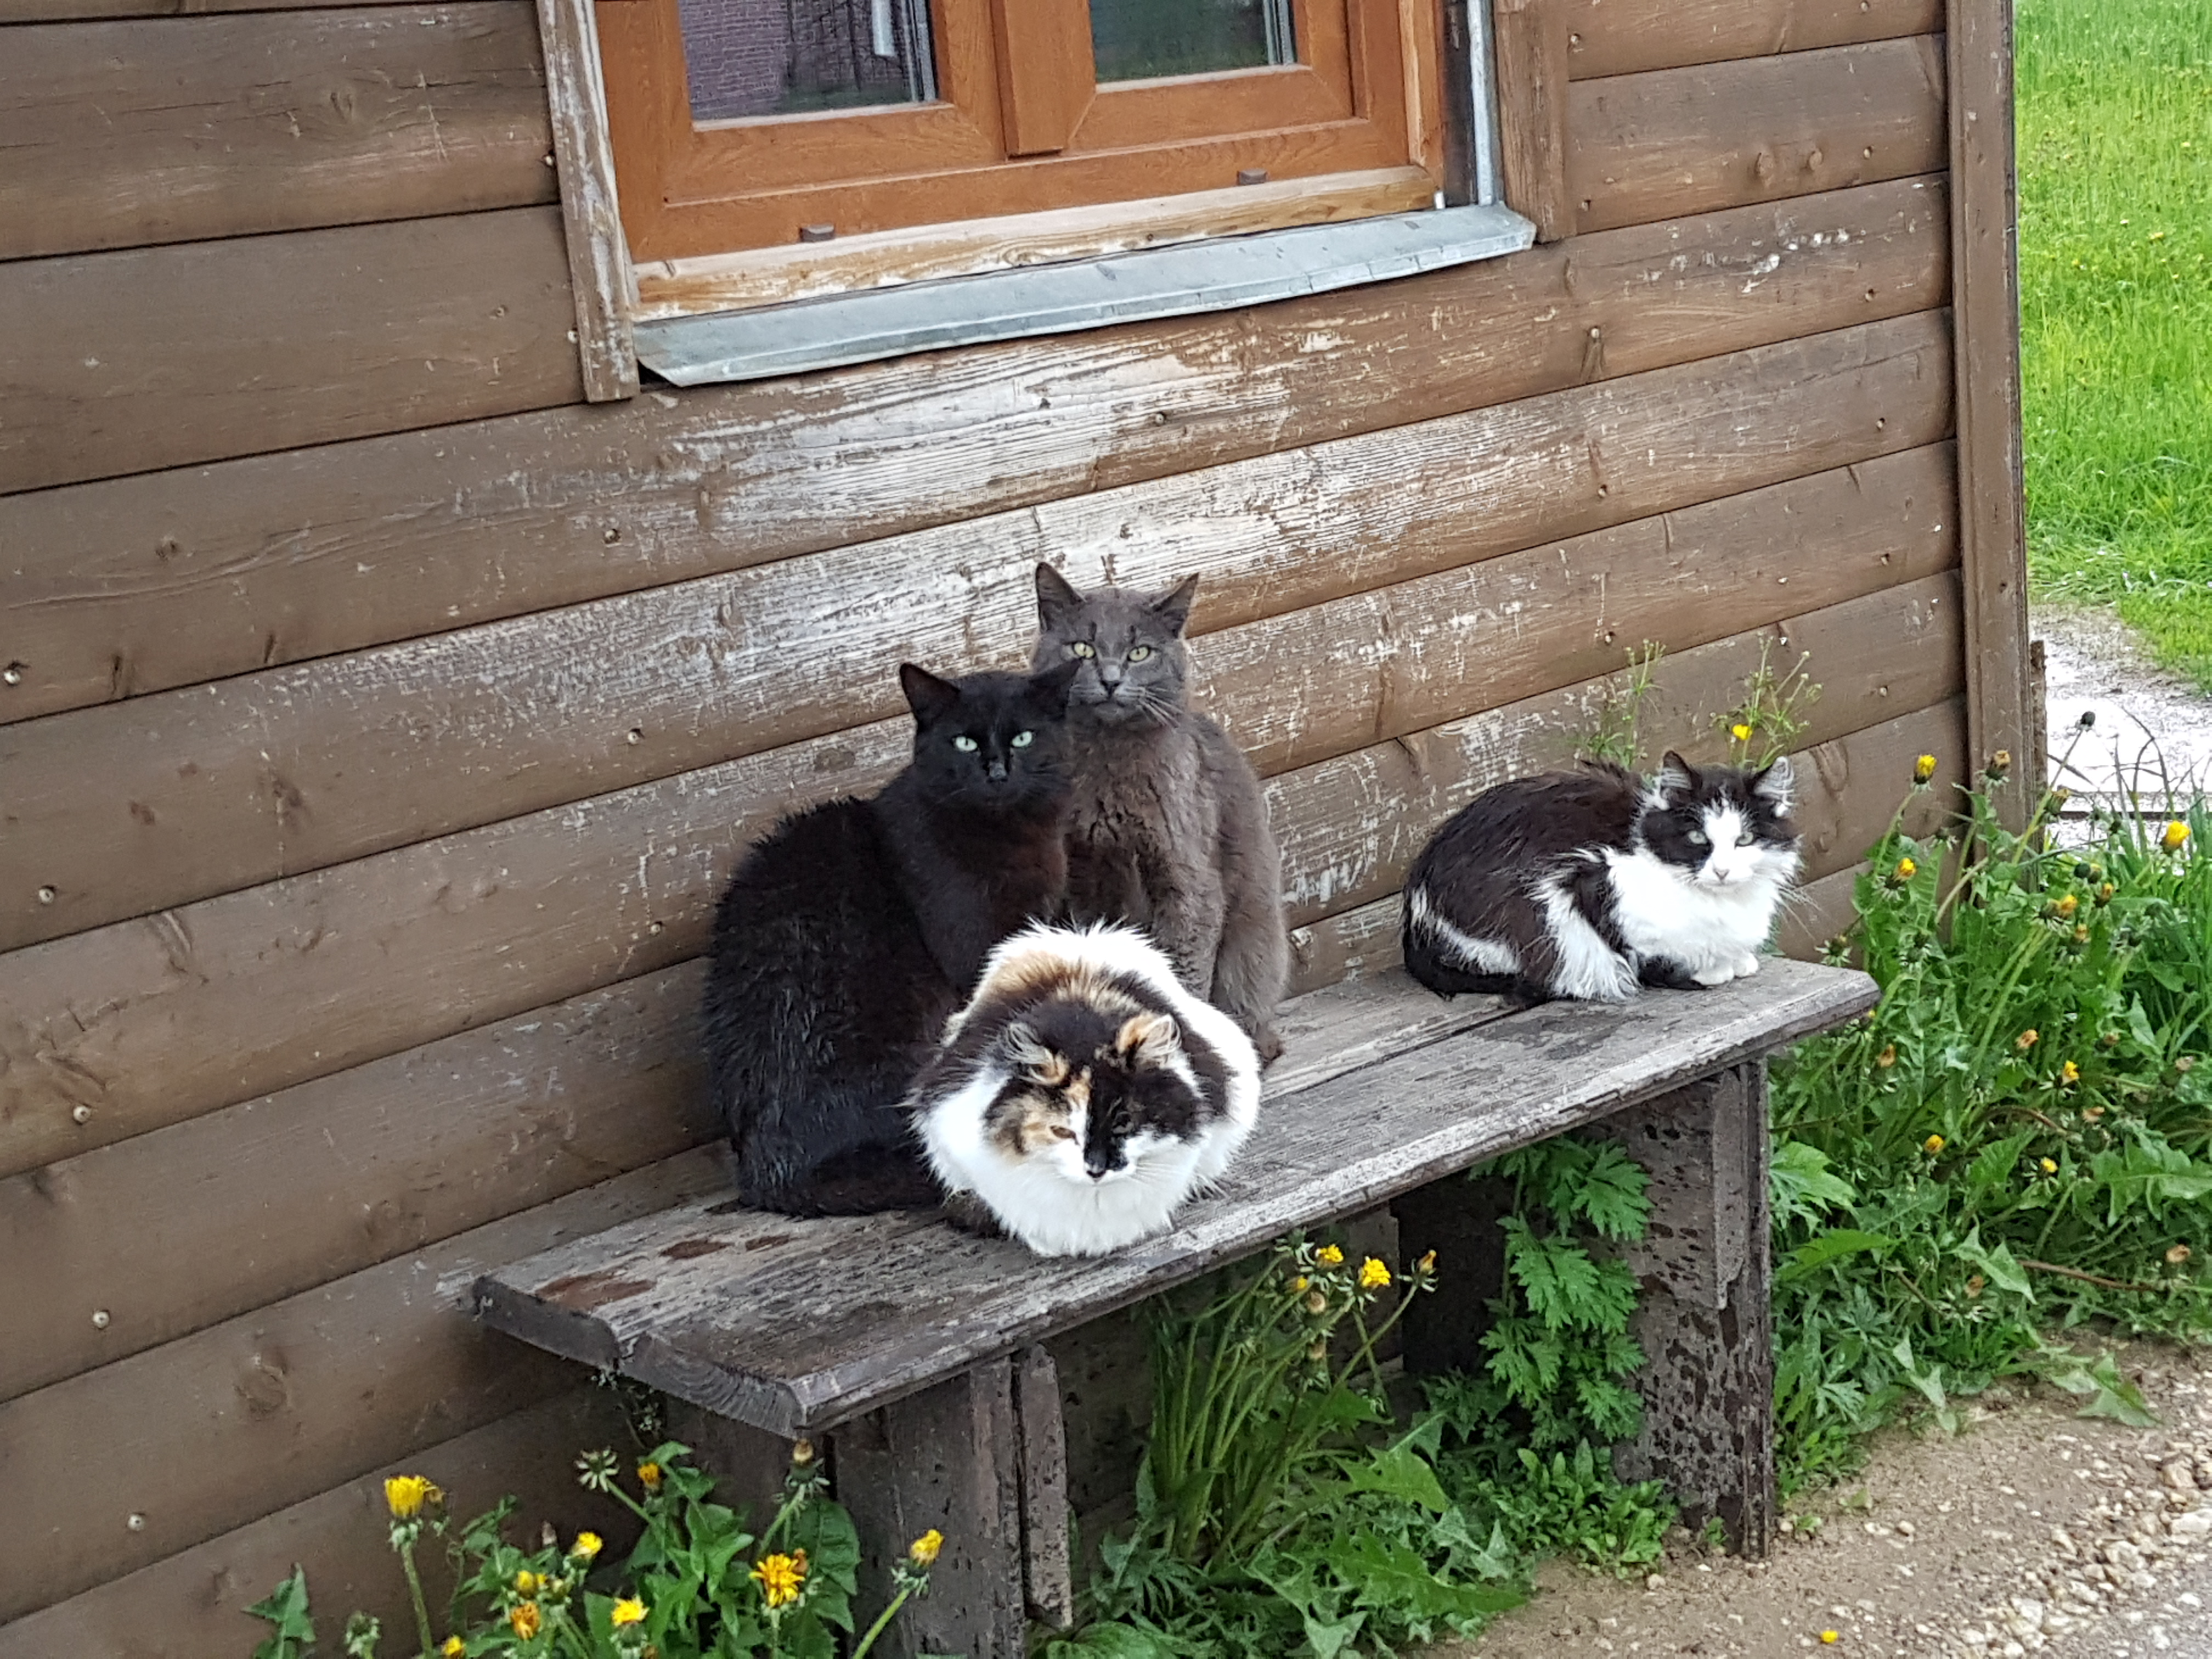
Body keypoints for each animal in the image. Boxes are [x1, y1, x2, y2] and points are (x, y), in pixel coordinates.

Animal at [702, 659, 1081, 1216]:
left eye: (1025, 737)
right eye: (963, 742)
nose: (996, 771)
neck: (1011, 840)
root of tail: (765, 1176)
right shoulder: (977, 949)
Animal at [1030, 564, 1290, 1064]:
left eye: (1140, 652)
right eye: (1082, 648)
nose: (1111, 679)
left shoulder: (1187, 877)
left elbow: (1184, 976)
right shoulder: (1088, 875)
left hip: (1252, 948)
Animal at [1401, 752, 1800, 1006]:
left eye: (1744, 840)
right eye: (1697, 838)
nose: (1721, 871)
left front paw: (1739, 960)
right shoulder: (1589, 883)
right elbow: (1646, 954)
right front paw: (1711, 971)